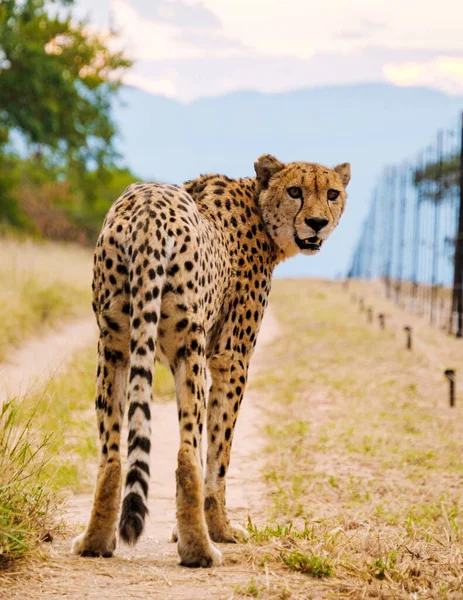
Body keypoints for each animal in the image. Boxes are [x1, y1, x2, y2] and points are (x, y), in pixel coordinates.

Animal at [72, 154, 350, 568]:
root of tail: (148, 208)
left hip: (114, 347)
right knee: (187, 454)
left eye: (332, 193)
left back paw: (94, 541)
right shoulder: (230, 359)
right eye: (295, 191)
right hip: (188, 350)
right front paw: (220, 528)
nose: (317, 222)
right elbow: (219, 455)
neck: (258, 204)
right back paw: (200, 550)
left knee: (111, 456)